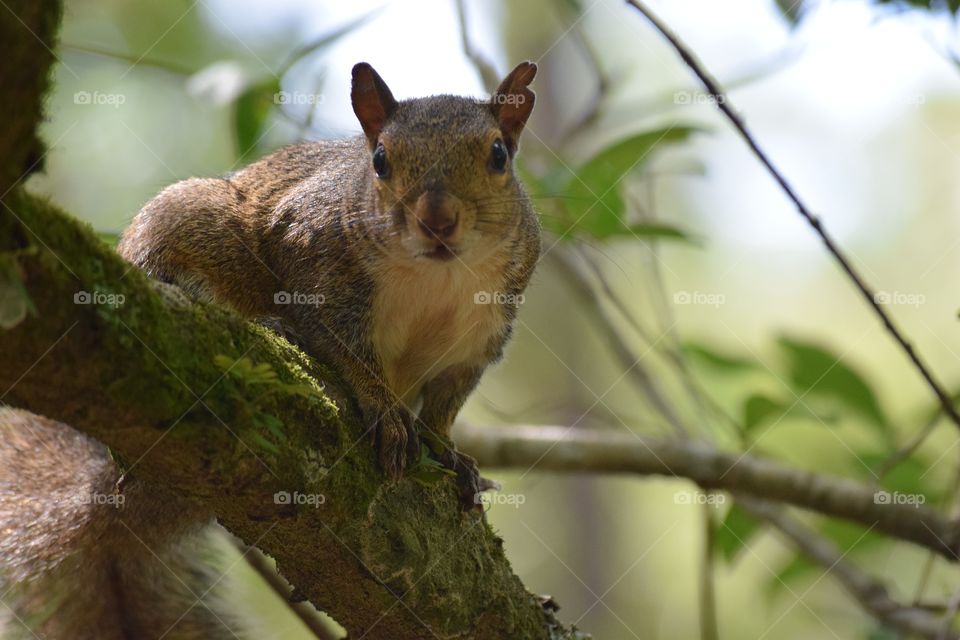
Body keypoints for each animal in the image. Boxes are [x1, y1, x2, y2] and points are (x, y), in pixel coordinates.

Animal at [118, 61, 540, 500]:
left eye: (499, 154)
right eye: (380, 160)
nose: (436, 220)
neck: (436, 276)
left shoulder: (479, 335)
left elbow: (448, 398)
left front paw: (445, 447)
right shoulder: (312, 253)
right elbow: (347, 349)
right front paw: (385, 410)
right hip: (180, 221)